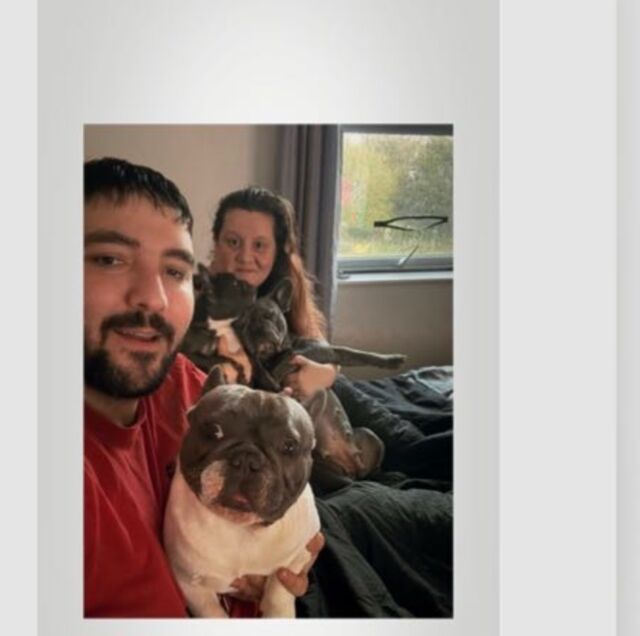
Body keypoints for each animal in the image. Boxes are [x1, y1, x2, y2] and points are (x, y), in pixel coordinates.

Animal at [163, 368, 320, 618]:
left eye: (289, 446)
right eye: (213, 430)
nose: (247, 460)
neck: (241, 528)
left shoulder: (300, 553)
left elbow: (279, 588)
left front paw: (278, 613)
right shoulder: (191, 584)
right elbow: (212, 613)